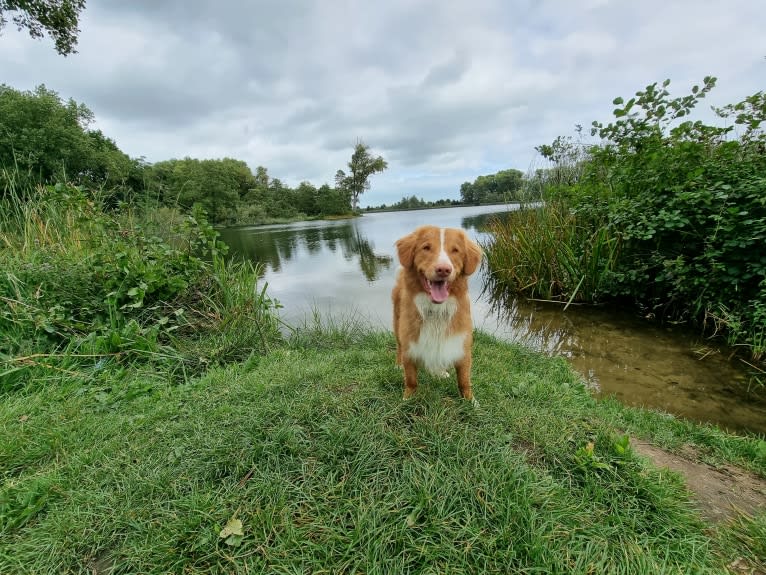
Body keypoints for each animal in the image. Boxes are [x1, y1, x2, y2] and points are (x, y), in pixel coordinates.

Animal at [392, 225, 484, 400]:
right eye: (426, 248)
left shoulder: (461, 343)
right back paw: (398, 365)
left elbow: (464, 381)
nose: (443, 269)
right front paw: (407, 398)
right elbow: (411, 380)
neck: (436, 310)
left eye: (455, 250)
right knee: (398, 347)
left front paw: (471, 402)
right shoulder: (410, 343)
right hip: (397, 323)